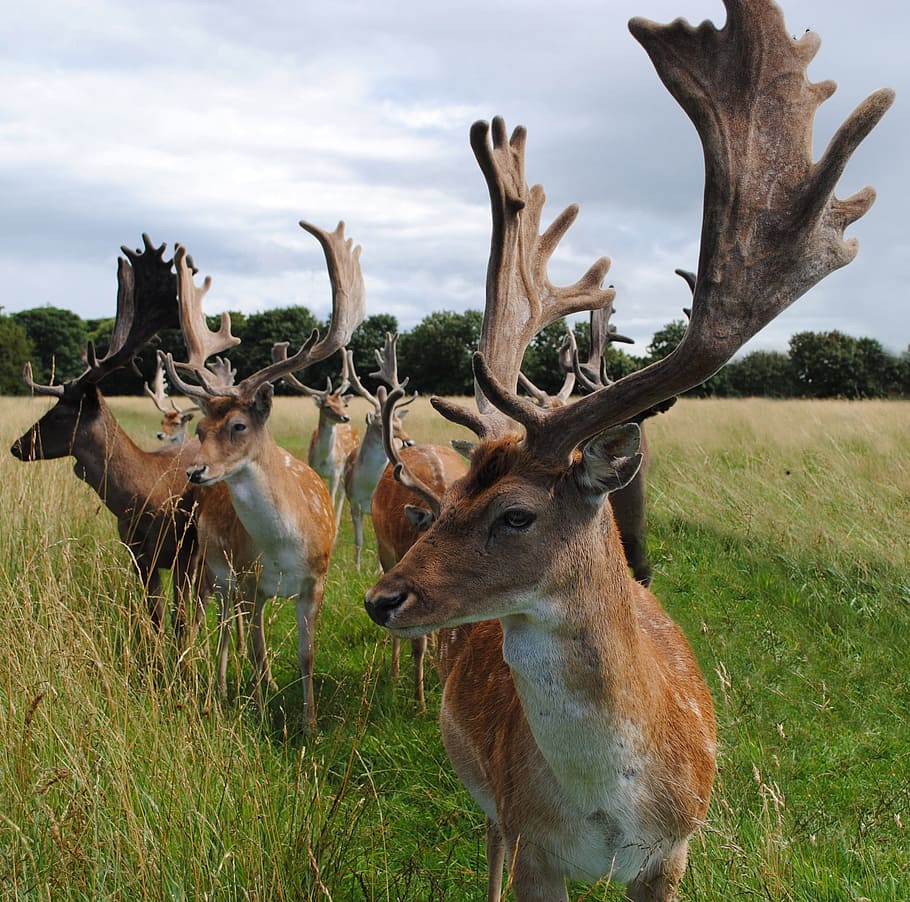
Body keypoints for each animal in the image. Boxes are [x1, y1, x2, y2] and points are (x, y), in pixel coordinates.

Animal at [10, 235, 238, 636]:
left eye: (62, 412)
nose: (18, 445)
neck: (147, 497)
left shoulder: (187, 551)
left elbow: (182, 621)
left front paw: (184, 654)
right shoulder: (137, 552)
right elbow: (156, 618)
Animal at [272, 344, 360, 527]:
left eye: (343, 404)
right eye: (327, 406)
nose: (345, 417)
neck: (325, 459)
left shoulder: (335, 471)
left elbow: (331, 500)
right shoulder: (315, 468)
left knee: (342, 491)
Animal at [342, 333, 416, 571]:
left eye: (400, 422)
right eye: (382, 425)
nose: (408, 442)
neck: (367, 488)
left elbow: (377, 542)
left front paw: (377, 570)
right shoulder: (354, 503)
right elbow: (358, 539)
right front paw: (356, 568)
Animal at [365, 0, 893, 895]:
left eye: (515, 513)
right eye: (449, 497)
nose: (383, 598)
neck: (607, 817)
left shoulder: (676, 849)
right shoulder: (533, 841)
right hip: (485, 800)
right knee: (488, 848)